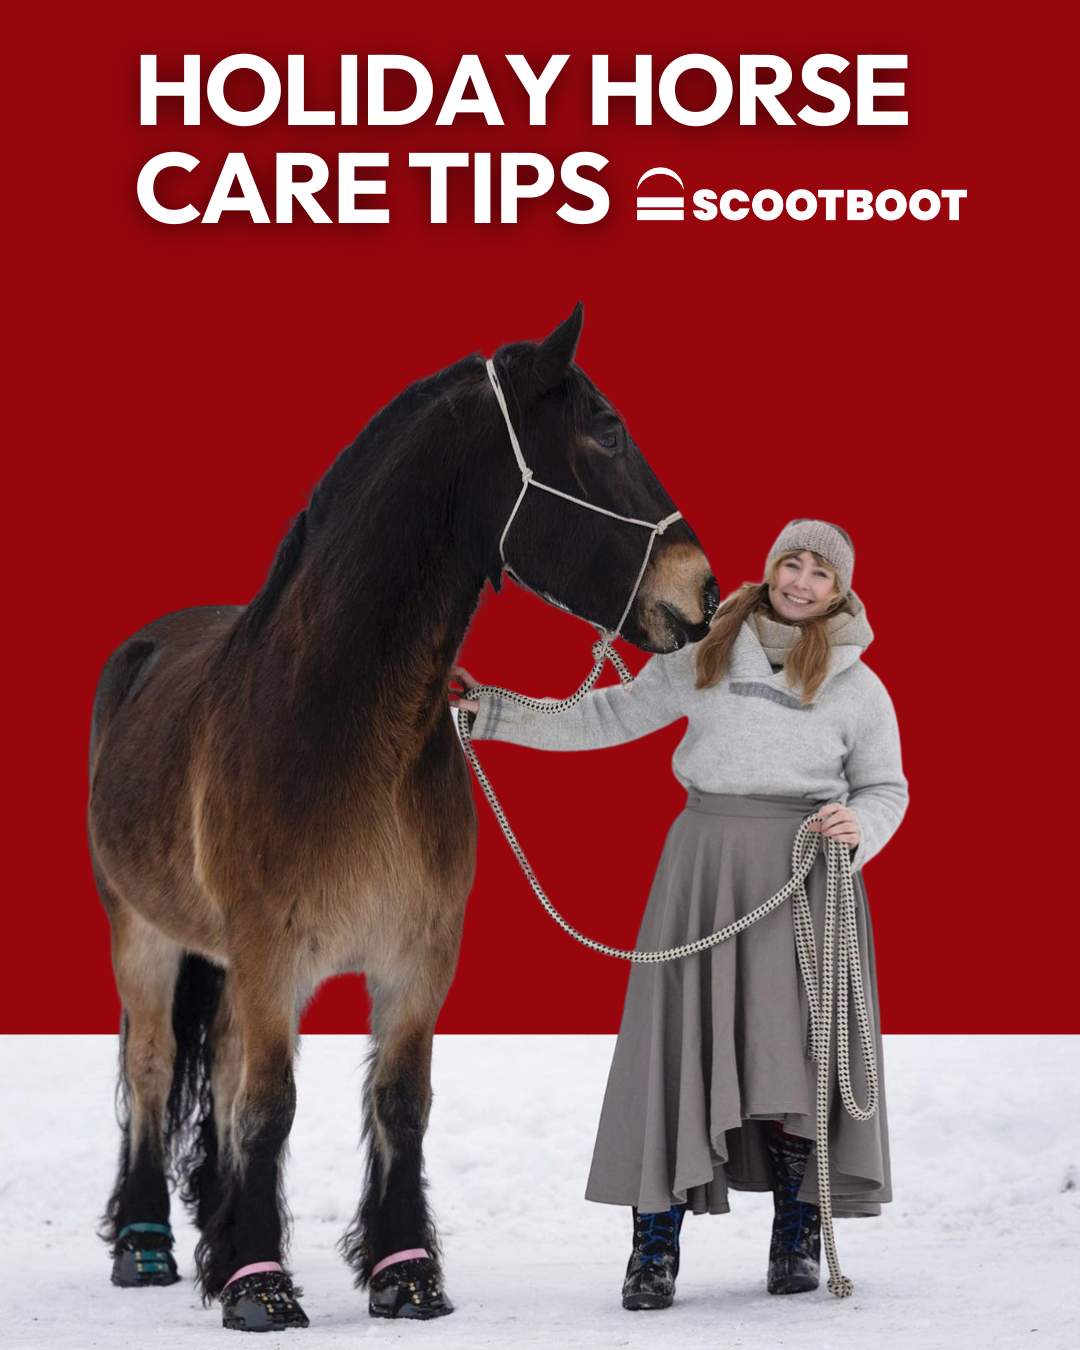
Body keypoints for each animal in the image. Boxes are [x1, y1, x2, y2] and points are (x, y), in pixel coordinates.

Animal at [87, 304, 718, 1329]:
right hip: (143, 936)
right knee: (151, 1067)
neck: (339, 729)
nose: (700, 591)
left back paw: (217, 1239)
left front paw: (404, 1272)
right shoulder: (271, 958)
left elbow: (398, 1103)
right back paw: (148, 1246)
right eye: (607, 431)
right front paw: (263, 1289)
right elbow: (269, 1105)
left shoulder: (419, 959)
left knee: (214, 1073)